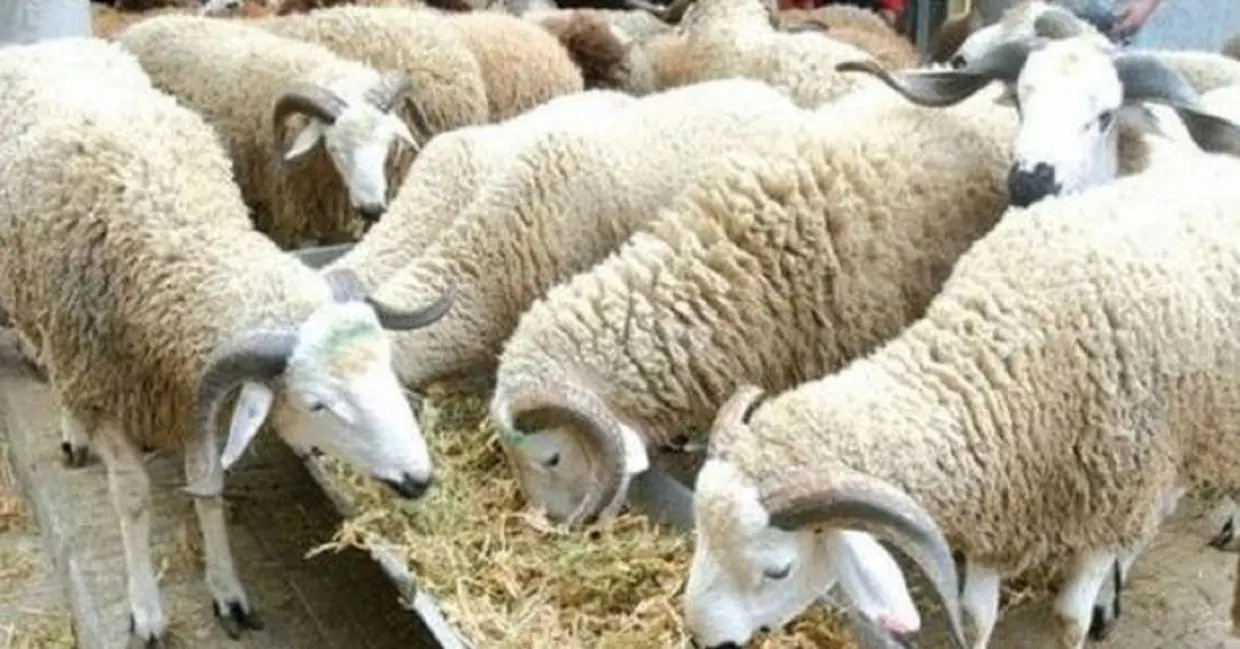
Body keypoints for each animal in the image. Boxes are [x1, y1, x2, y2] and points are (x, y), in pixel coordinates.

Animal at [681, 150, 1240, 649]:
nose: (710, 642)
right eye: (700, 538)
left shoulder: (1115, 503)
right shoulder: (1000, 500)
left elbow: (1070, 620)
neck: (1006, 357)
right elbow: (973, 618)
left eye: (778, 570)